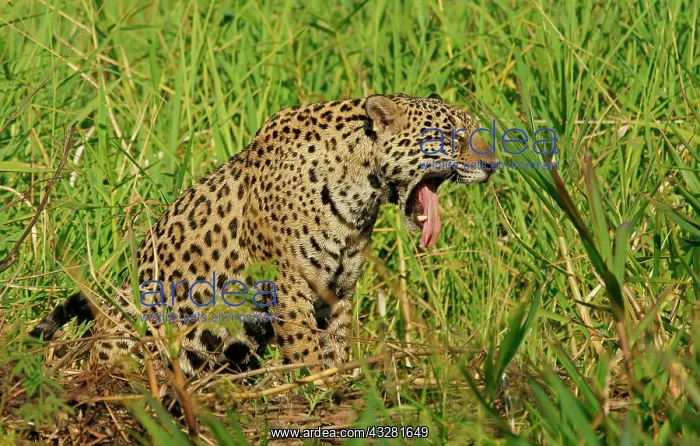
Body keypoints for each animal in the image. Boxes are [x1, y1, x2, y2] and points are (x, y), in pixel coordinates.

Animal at [30, 93, 499, 378]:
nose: (493, 165)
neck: (359, 192)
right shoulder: (288, 285)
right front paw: (316, 389)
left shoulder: (339, 290)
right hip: (136, 310)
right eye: (452, 136)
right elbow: (307, 349)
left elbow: (335, 346)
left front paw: (337, 387)